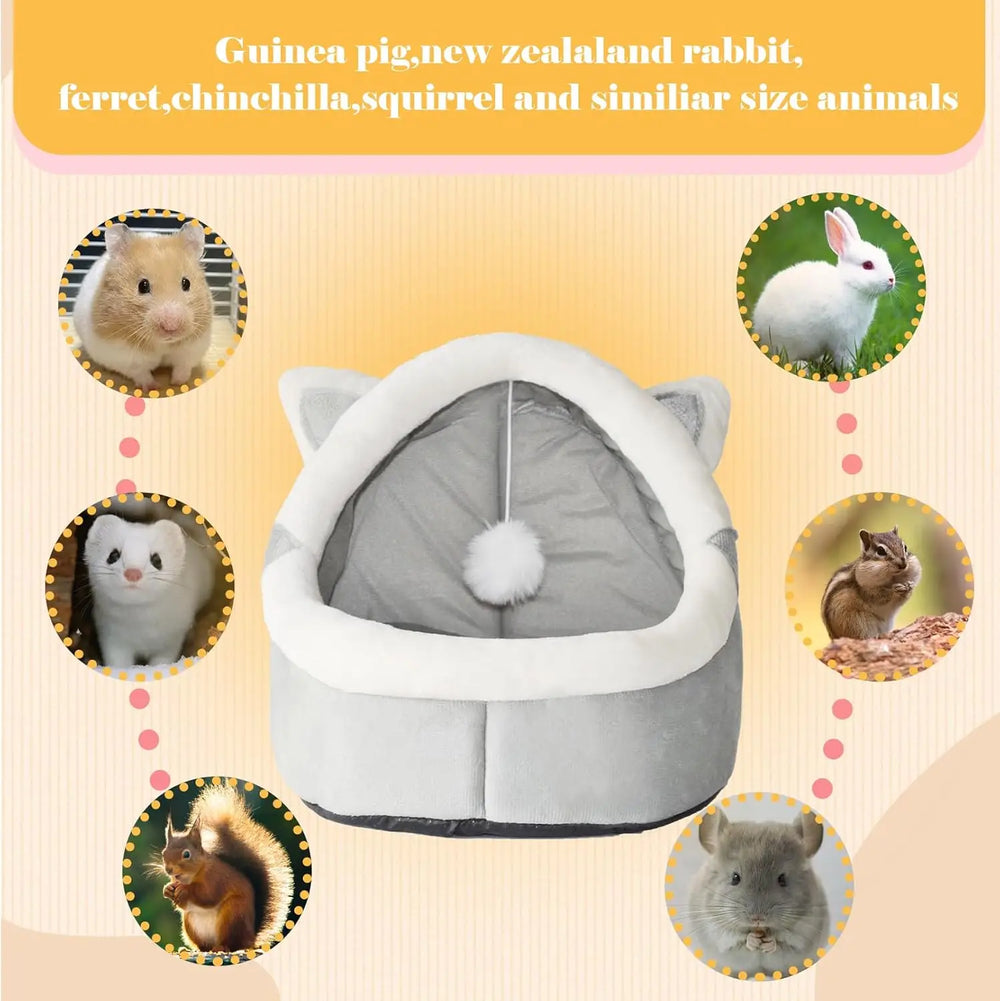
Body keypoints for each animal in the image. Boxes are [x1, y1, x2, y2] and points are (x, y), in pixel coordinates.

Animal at [687, 807, 830, 976]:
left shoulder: (805, 929)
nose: (758, 918)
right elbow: (733, 938)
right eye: (735, 878)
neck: (760, 930)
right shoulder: (714, 927)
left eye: (782, 879)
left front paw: (769, 942)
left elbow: (785, 940)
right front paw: (753, 940)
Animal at [751, 207, 896, 372]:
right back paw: (803, 366)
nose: (891, 280)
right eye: (867, 265)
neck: (850, 286)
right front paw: (850, 371)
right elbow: (844, 358)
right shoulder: (844, 338)